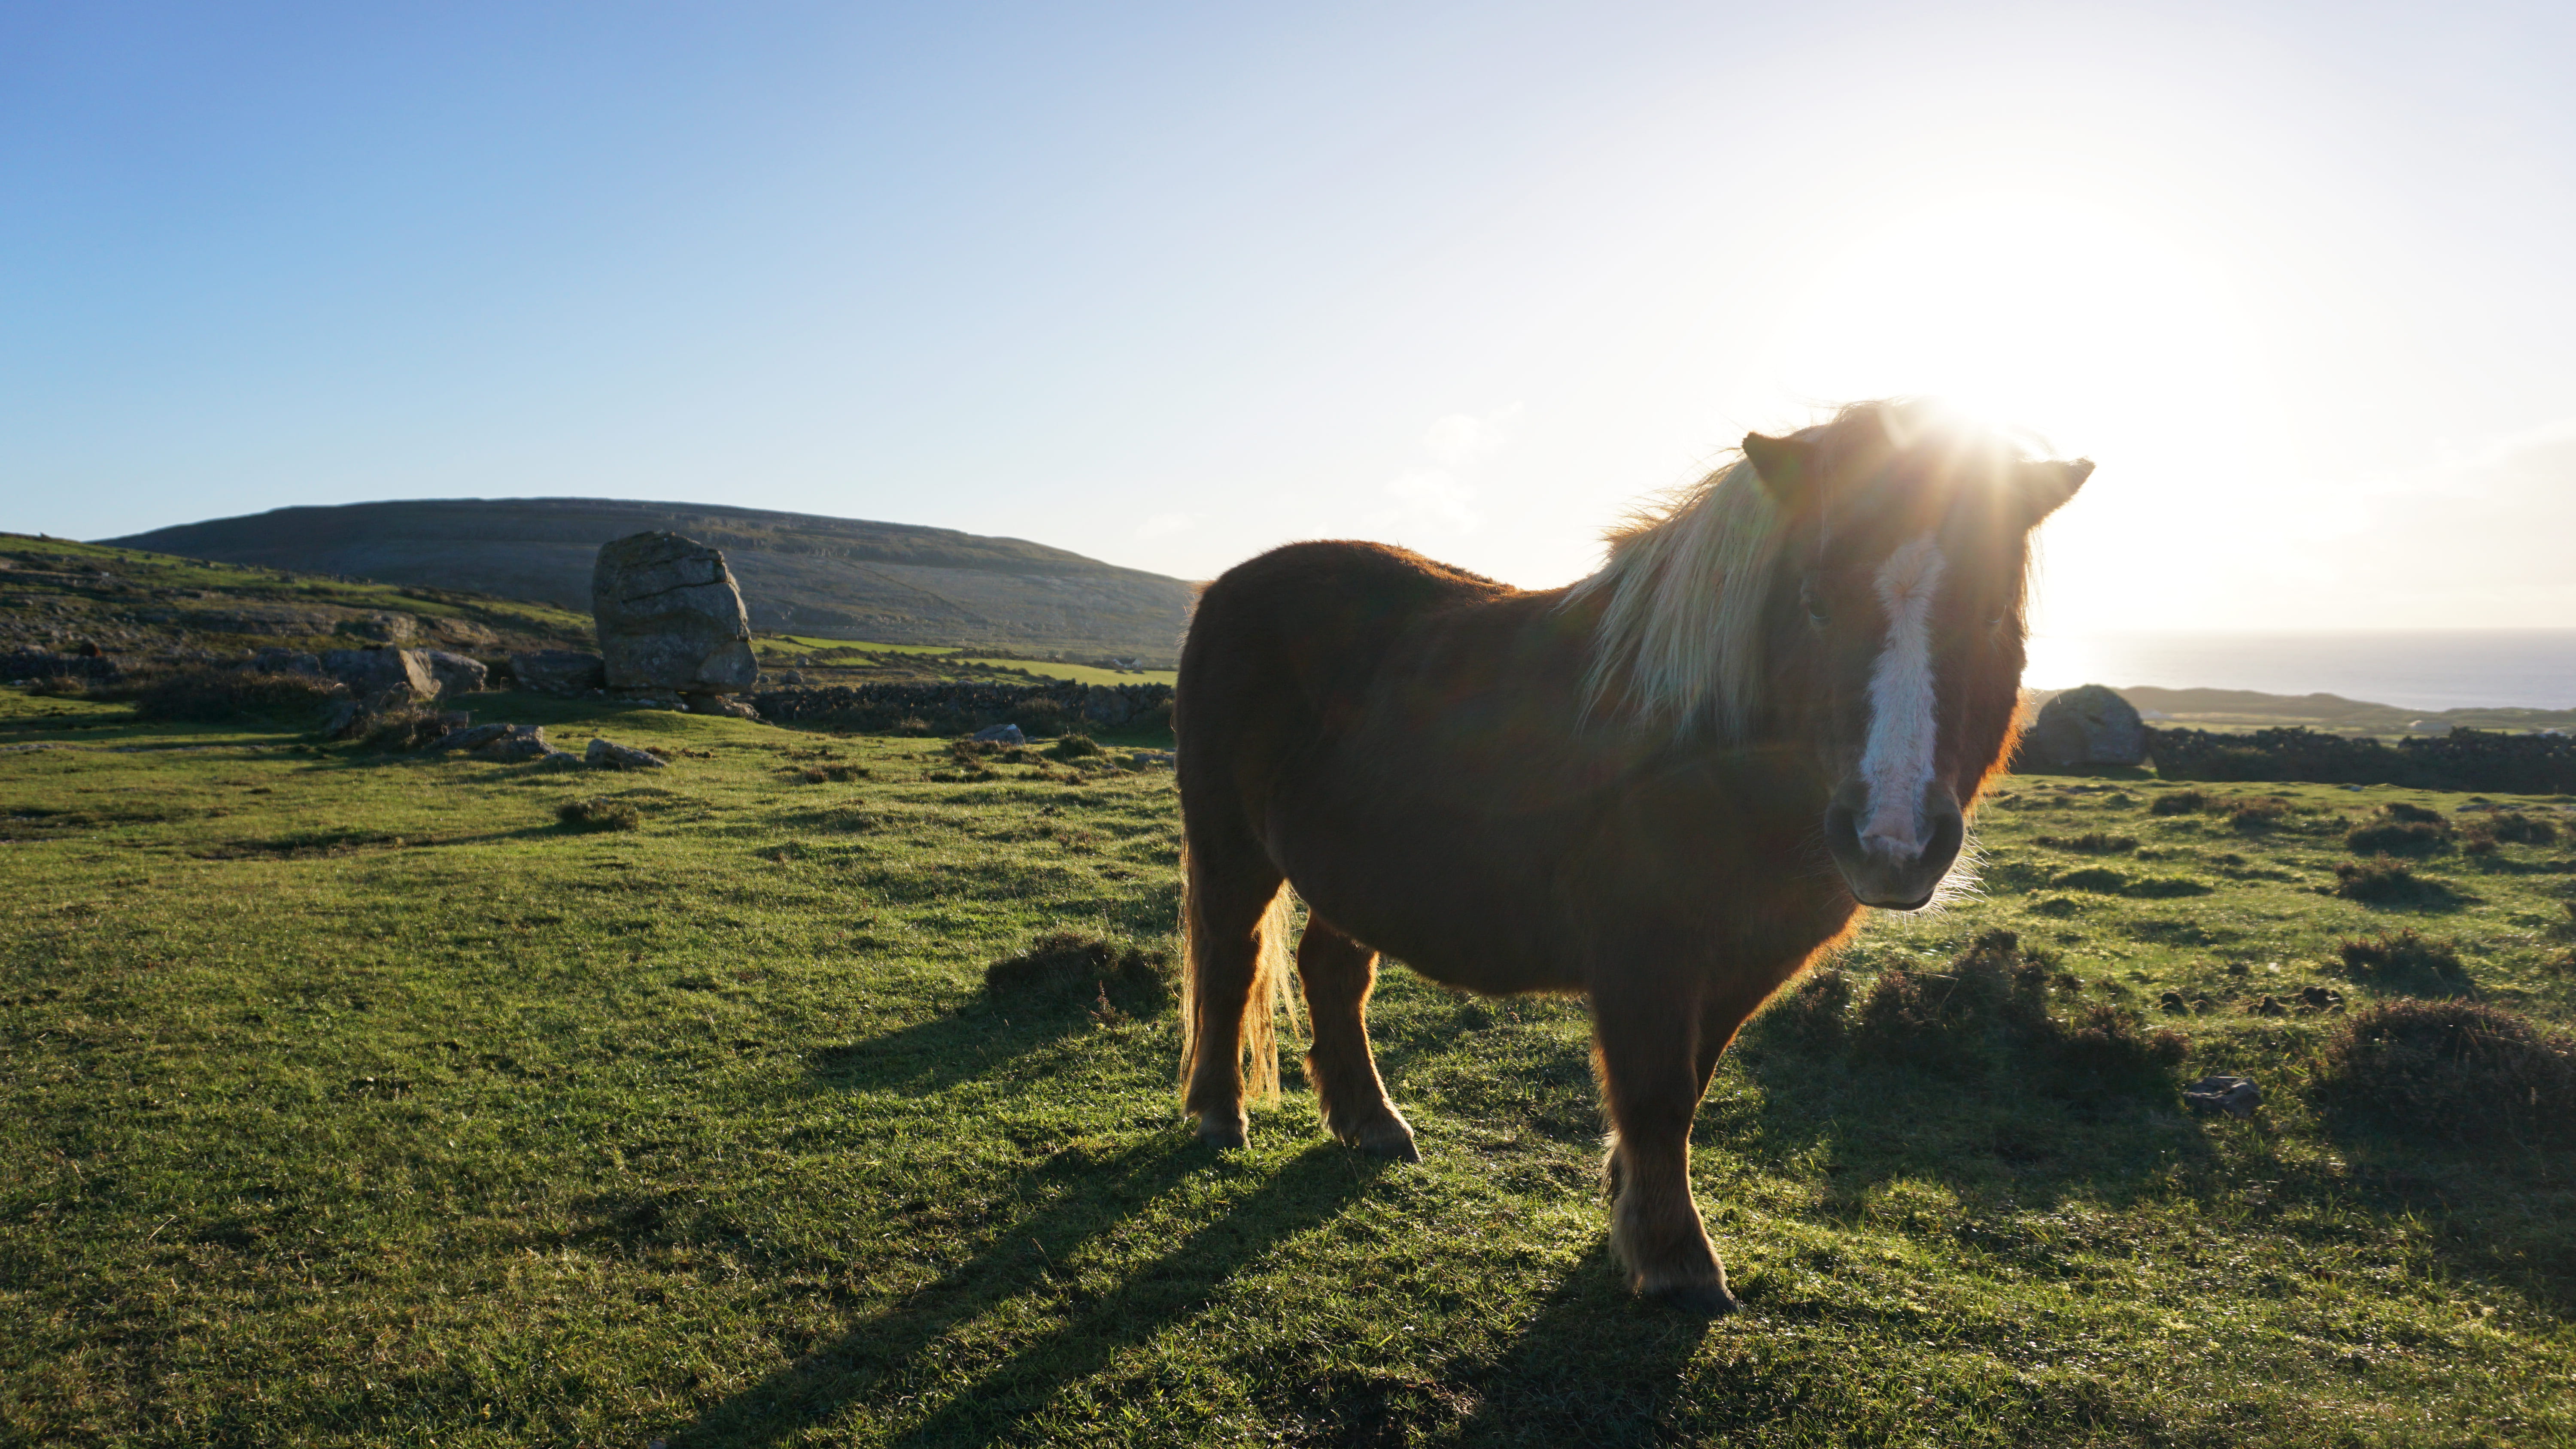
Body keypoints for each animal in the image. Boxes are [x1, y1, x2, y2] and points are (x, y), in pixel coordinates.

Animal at [1170, 400, 2090, 1315]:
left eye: (1992, 612)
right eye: (1815, 602)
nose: (1891, 842)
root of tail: (1230, 586)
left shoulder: (1749, 958)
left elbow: (1694, 1080)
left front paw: (1629, 1203)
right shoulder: (1643, 953)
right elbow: (1657, 1093)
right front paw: (1674, 1255)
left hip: (1359, 871)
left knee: (1332, 970)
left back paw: (1371, 1120)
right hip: (1232, 850)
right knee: (1231, 963)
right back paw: (1220, 1115)